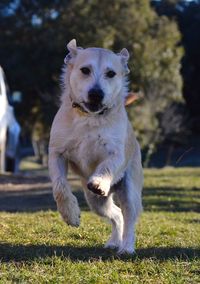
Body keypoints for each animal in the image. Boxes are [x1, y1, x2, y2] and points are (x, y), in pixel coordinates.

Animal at [48, 39, 142, 253]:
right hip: (96, 202)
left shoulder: (116, 153)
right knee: (116, 214)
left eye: (111, 73)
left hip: (130, 190)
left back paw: (126, 246)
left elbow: (106, 166)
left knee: (129, 217)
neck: (90, 118)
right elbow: (60, 186)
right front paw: (70, 214)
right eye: (85, 70)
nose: (96, 94)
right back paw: (114, 241)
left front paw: (99, 181)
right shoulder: (57, 153)